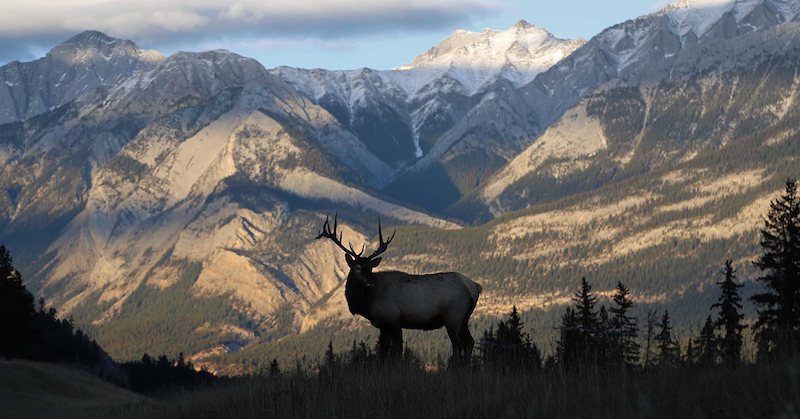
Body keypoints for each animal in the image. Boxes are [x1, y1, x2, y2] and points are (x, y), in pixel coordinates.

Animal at [318, 213, 482, 364]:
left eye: (370, 268)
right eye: (358, 267)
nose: (371, 280)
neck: (367, 304)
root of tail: (475, 287)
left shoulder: (393, 319)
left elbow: (397, 352)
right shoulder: (383, 326)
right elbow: (383, 352)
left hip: (453, 316)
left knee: (458, 345)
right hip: (464, 318)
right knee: (469, 341)